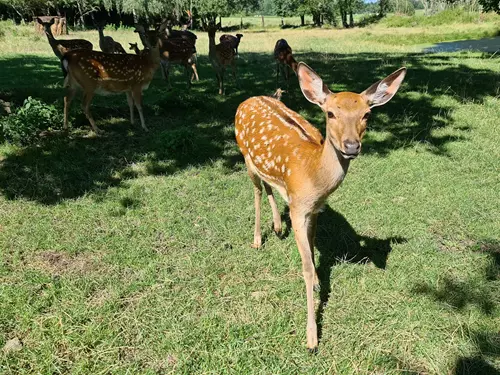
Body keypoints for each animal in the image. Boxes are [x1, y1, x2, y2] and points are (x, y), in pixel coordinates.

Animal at [235, 63, 406, 354]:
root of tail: (248, 100)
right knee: (257, 190)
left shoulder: (314, 209)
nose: (351, 146)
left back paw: (277, 227)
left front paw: (317, 281)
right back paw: (258, 239)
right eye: (330, 113)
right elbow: (304, 264)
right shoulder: (298, 208)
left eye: (367, 114)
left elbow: (313, 247)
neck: (313, 173)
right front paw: (312, 337)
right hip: (245, 156)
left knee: (268, 185)